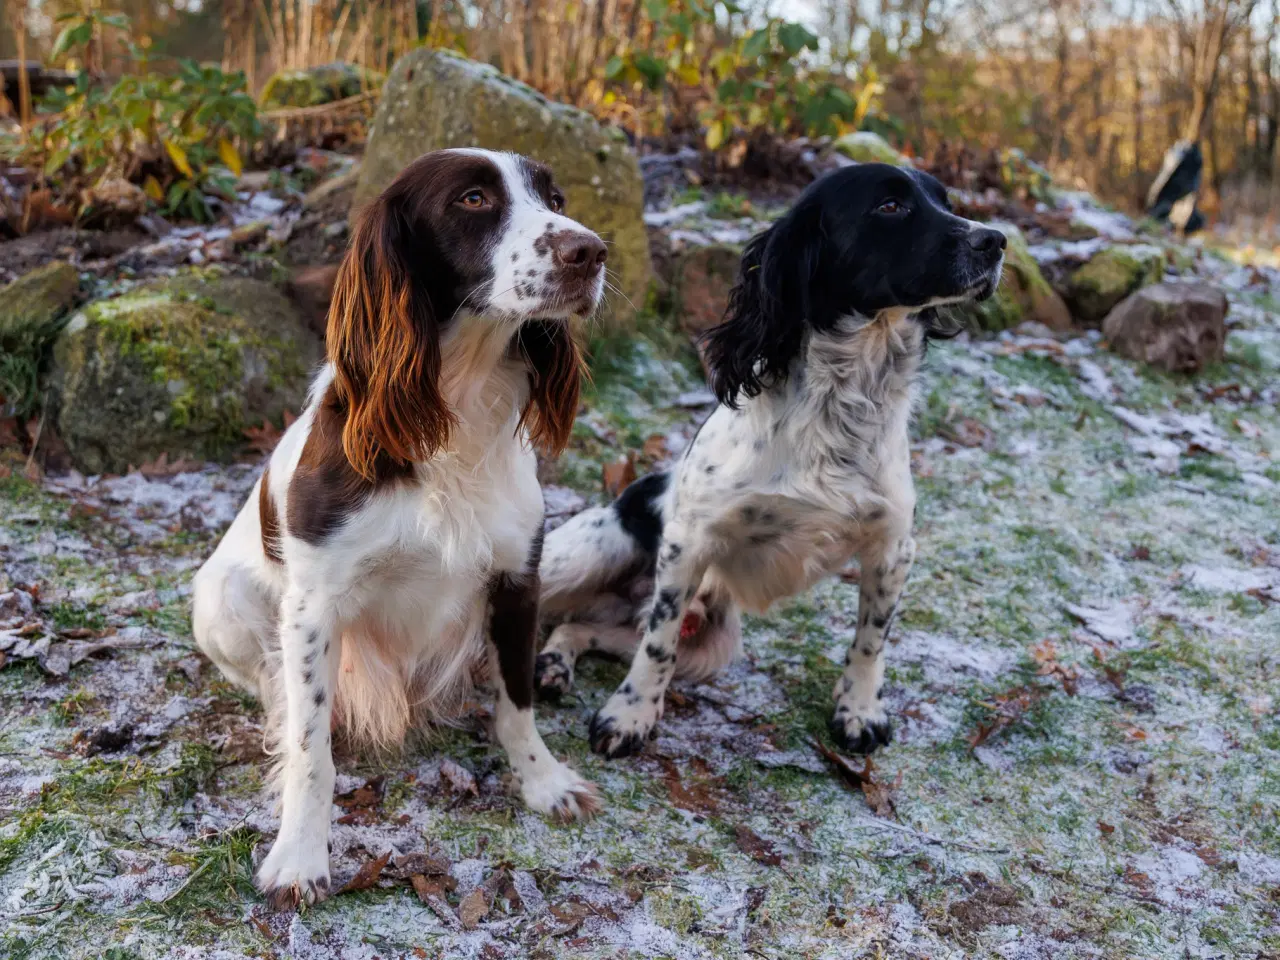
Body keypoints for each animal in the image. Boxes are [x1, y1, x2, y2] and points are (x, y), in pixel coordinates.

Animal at [192, 148, 606, 911]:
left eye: (555, 198)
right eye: (473, 199)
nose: (590, 251)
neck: (456, 406)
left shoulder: (519, 578)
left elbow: (518, 703)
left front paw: (543, 782)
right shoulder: (313, 605)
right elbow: (312, 752)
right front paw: (300, 857)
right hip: (220, 600)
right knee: (271, 683)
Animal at [535, 163, 1003, 757]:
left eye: (946, 201)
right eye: (890, 206)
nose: (996, 241)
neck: (838, 405)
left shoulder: (893, 547)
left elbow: (871, 639)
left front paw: (859, 710)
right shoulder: (688, 544)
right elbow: (658, 644)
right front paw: (629, 717)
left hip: (711, 643)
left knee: (579, 626)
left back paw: (553, 664)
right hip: (588, 553)